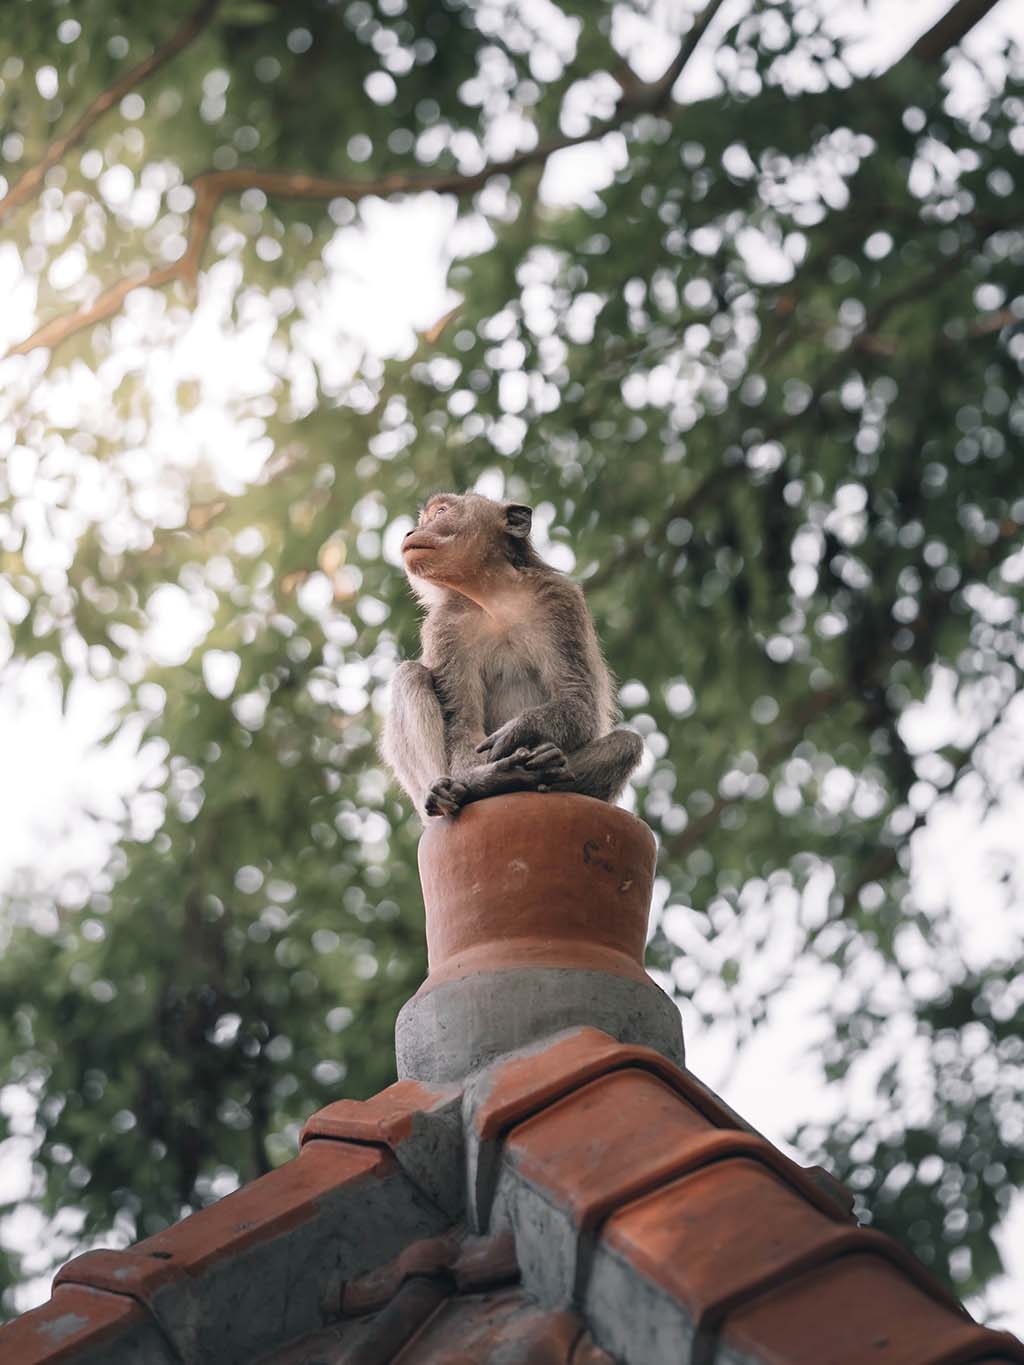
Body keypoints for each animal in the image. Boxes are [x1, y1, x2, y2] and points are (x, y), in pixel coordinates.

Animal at [382, 494, 644, 819]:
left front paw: (519, 731)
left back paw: (544, 765)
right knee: (410, 675)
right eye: (424, 519)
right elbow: (462, 722)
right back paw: (469, 787)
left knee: (626, 743)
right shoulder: (444, 628)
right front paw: (483, 776)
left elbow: (578, 701)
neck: (494, 598)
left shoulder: (560, 601)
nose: (410, 532)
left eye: (440, 512)